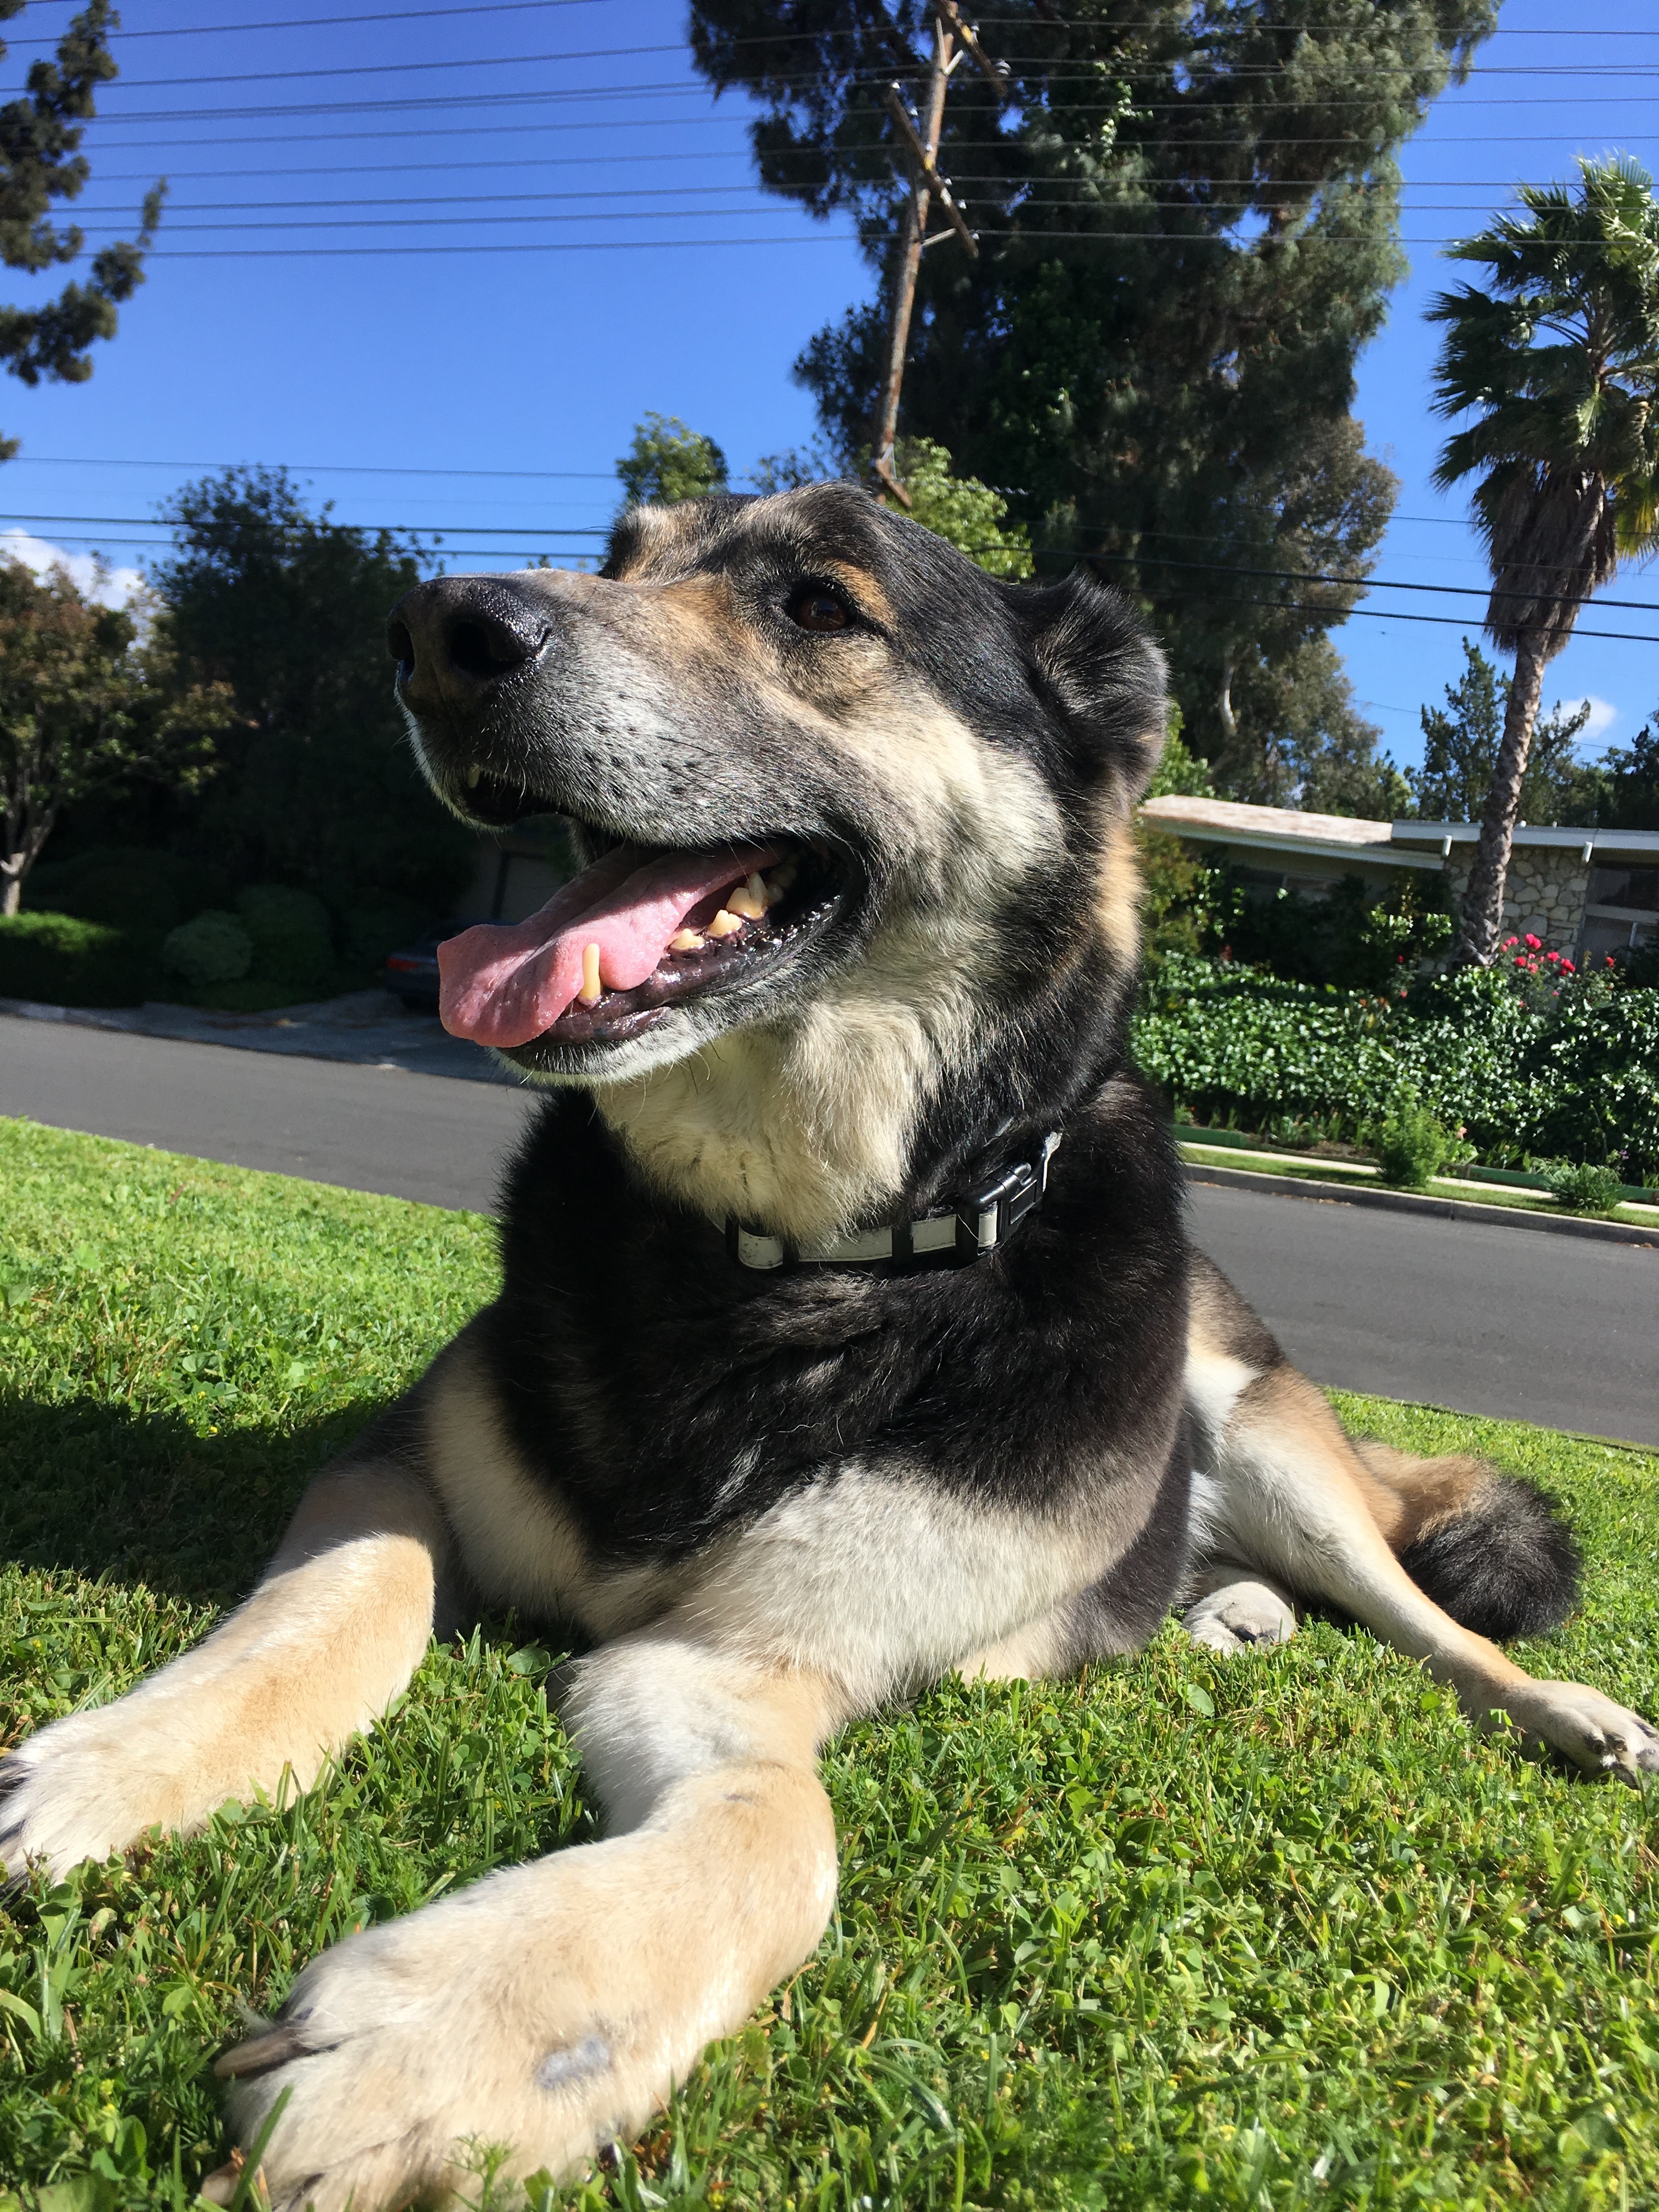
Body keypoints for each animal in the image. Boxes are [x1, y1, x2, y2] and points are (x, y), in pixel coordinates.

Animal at [3, 489, 1659, 2212]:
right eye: (621, 551)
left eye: (818, 603)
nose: (437, 633)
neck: (795, 1257)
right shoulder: (402, 1470)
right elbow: (341, 1597)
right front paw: (123, 1763)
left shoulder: (739, 1664)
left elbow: (781, 1835)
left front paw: (437, 2048)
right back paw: (1227, 1613)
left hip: (1267, 1432)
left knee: (1425, 1619)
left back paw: (1562, 1706)